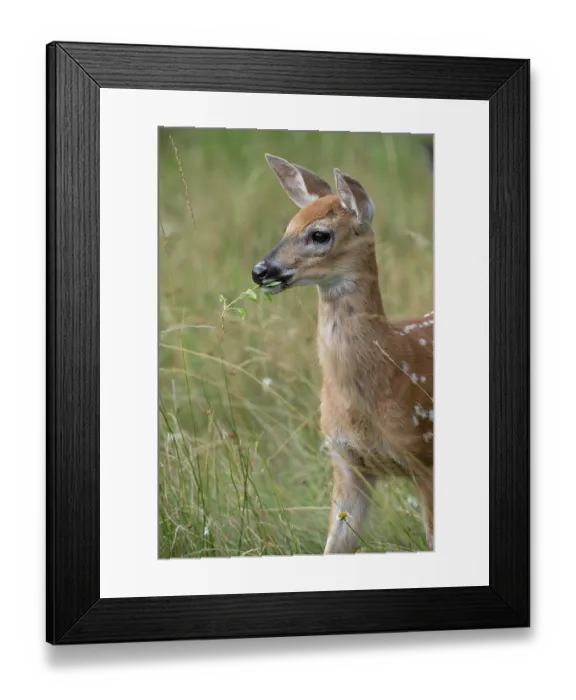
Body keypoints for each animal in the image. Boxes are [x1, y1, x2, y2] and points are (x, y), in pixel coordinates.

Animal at [252, 154, 434, 555]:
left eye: (319, 234)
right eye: (288, 226)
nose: (260, 270)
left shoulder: (425, 455)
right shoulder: (348, 464)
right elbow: (334, 548)